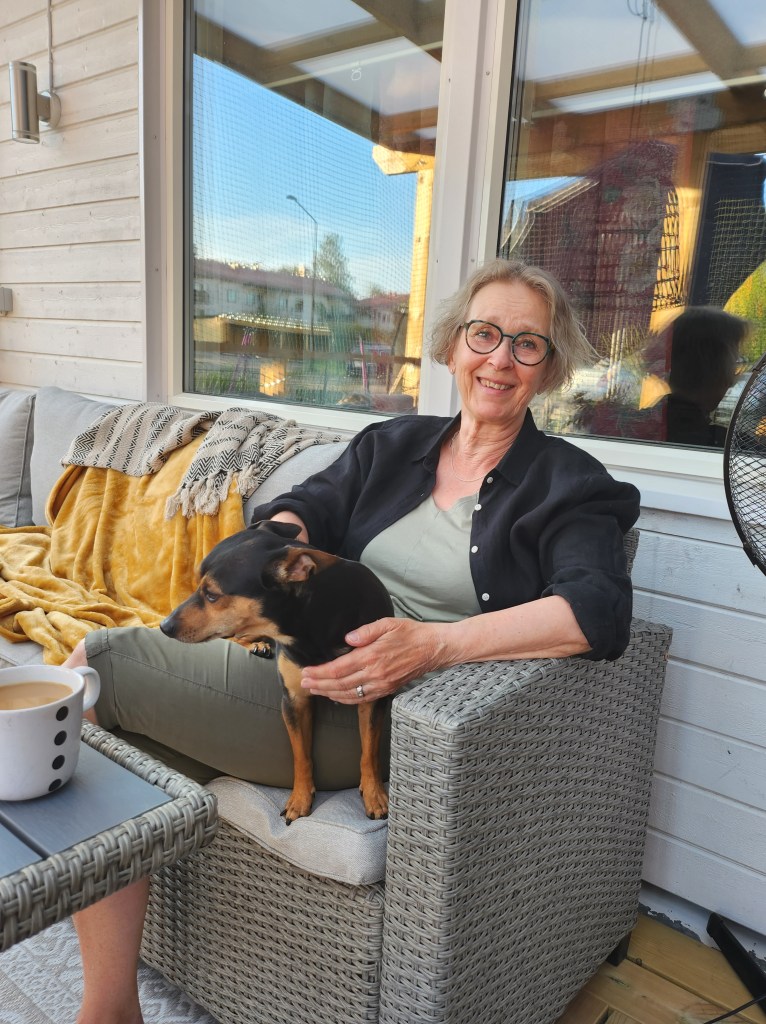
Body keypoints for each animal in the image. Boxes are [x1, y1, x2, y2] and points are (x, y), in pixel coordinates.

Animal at [160, 520, 394, 824]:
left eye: (212, 595)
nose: (164, 626)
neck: (312, 623)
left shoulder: (371, 696)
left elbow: (369, 751)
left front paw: (374, 794)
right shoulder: (293, 699)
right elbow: (301, 755)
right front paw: (300, 799)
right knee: (236, 636)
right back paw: (257, 644)